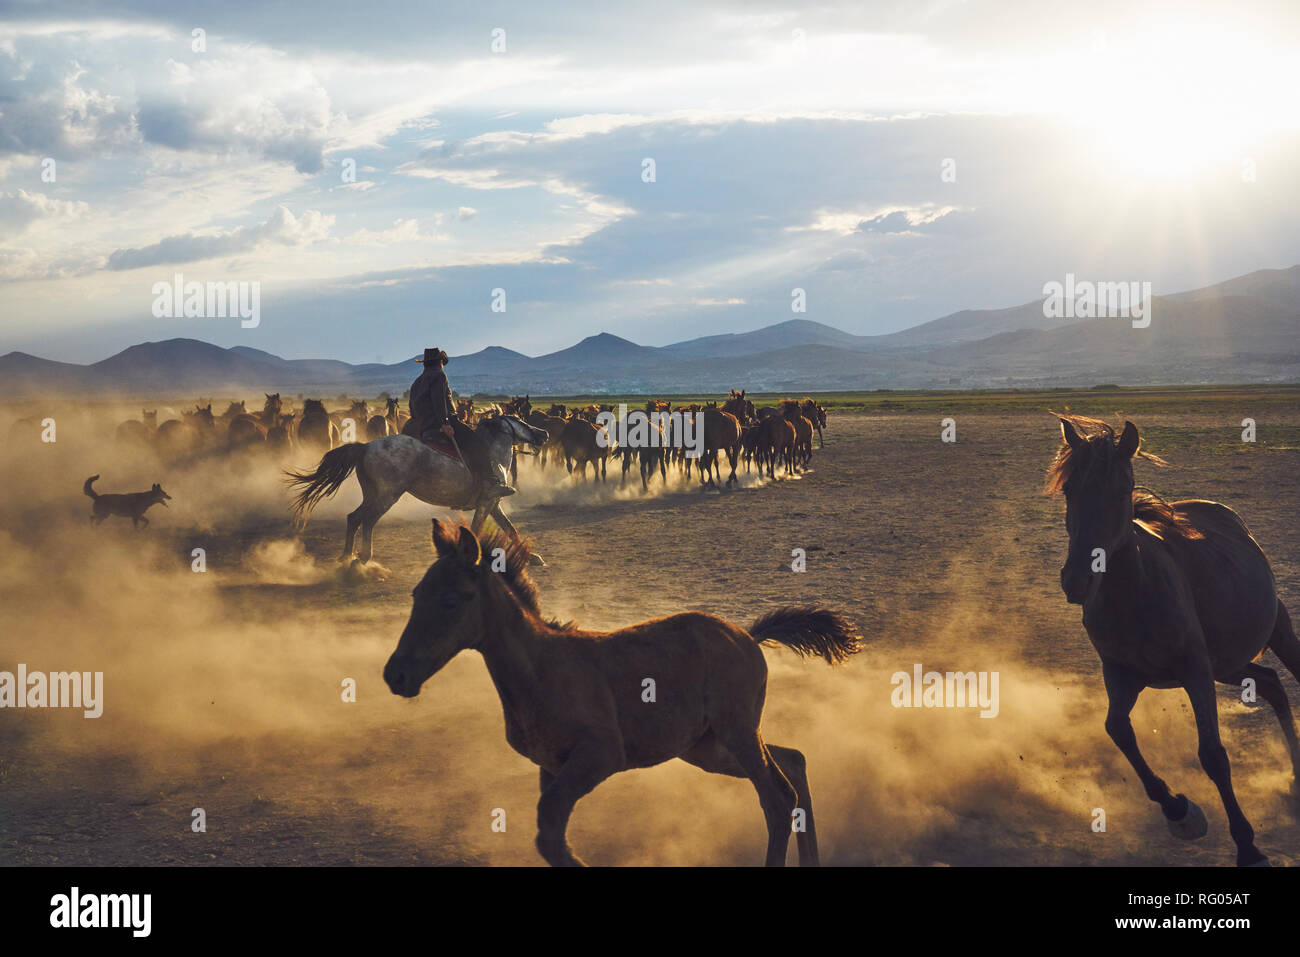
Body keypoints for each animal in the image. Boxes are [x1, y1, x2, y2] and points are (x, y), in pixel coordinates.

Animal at [379, 520, 863, 868]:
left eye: (451, 600)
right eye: (416, 593)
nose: (396, 675)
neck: (541, 669)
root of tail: (747, 634)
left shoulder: (601, 755)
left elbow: (551, 833)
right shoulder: (551, 767)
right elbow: (548, 835)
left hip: (736, 733)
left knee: (777, 799)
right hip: (707, 748)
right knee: (793, 765)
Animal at [1045, 410, 1300, 868]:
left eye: (1123, 489)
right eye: (1070, 488)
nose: (1077, 580)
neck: (1135, 593)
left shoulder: (1194, 670)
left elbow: (1213, 755)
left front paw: (1248, 846)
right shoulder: (1120, 673)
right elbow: (1118, 730)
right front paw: (1180, 811)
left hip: (1274, 633)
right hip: (1228, 666)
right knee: (1272, 684)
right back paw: (1294, 780)